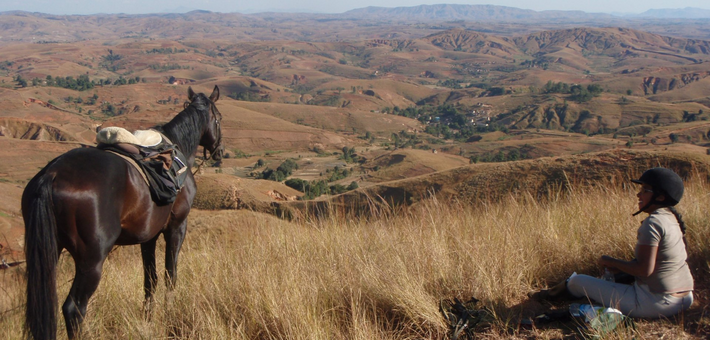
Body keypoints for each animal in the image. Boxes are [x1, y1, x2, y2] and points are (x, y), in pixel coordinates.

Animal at [22, 85, 222, 340]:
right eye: (219, 118)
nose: (220, 152)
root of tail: (52, 174)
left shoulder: (149, 236)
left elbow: (150, 280)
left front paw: (148, 319)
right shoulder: (177, 227)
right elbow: (170, 275)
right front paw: (169, 314)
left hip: (49, 250)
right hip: (92, 260)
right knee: (74, 308)